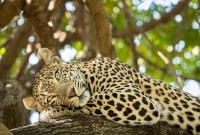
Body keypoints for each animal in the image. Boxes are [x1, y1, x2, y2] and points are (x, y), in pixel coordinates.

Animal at [23, 48, 200, 134]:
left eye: (57, 75)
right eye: (50, 98)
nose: (72, 93)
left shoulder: (131, 96)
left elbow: (90, 101)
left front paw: (48, 113)